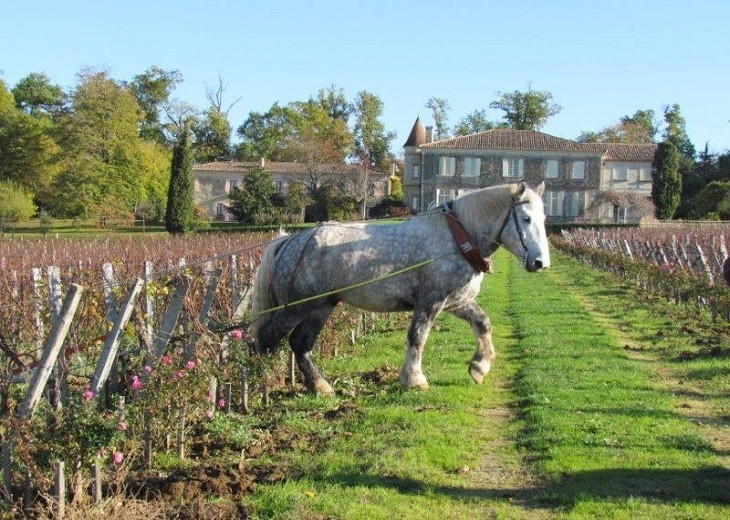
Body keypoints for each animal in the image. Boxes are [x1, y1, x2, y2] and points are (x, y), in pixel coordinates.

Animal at [247, 183, 548, 394]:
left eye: (544, 218)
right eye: (525, 218)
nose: (540, 262)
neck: (457, 238)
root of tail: (292, 240)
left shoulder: (456, 301)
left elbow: (483, 323)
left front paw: (479, 366)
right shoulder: (430, 301)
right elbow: (417, 337)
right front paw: (414, 379)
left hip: (322, 305)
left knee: (301, 344)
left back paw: (320, 386)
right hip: (297, 306)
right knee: (267, 338)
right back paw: (263, 386)